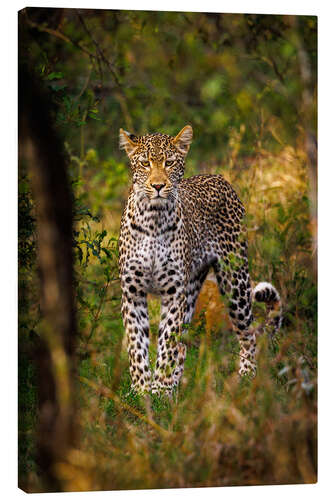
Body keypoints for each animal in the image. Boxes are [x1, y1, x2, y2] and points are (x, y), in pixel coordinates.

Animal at [116, 125, 280, 394]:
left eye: (170, 162)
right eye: (145, 163)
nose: (158, 185)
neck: (152, 219)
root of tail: (219, 177)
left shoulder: (174, 292)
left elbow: (167, 343)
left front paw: (159, 391)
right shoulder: (132, 291)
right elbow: (137, 344)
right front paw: (141, 391)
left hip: (234, 282)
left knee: (248, 332)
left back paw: (247, 377)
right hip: (193, 286)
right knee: (183, 345)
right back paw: (175, 388)